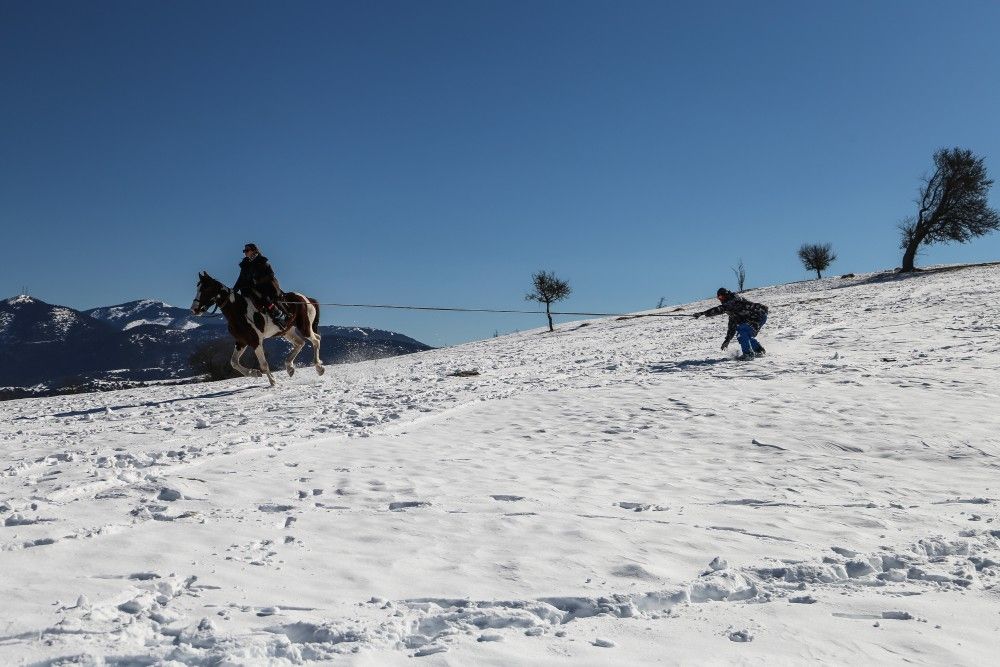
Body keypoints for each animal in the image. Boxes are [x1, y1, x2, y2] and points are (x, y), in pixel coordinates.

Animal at [190, 272, 324, 386]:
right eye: (197, 288)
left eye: (206, 288)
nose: (194, 309)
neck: (239, 310)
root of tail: (307, 299)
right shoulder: (241, 342)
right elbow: (234, 362)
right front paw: (254, 373)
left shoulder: (255, 342)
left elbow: (263, 364)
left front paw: (272, 381)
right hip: (286, 331)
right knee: (300, 343)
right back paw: (290, 368)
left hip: (304, 327)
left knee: (316, 340)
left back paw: (319, 368)